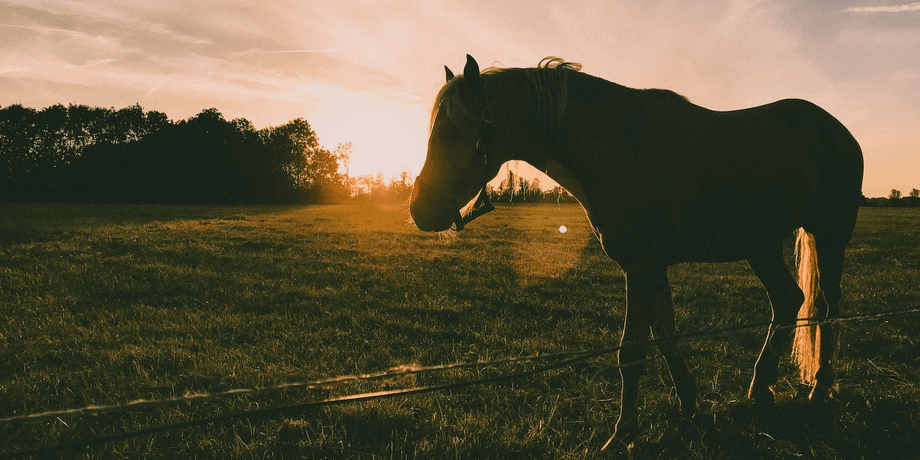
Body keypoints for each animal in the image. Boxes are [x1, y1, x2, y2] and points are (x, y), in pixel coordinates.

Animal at [409, 55, 864, 448]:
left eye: (455, 130)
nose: (419, 209)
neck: (620, 146)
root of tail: (836, 129)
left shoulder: (640, 268)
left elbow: (630, 352)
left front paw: (623, 433)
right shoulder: (652, 269)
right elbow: (665, 338)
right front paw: (690, 407)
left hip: (829, 235)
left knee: (826, 308)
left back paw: (820, 387)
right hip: (761, 246)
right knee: (788, 301)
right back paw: (762, 388)